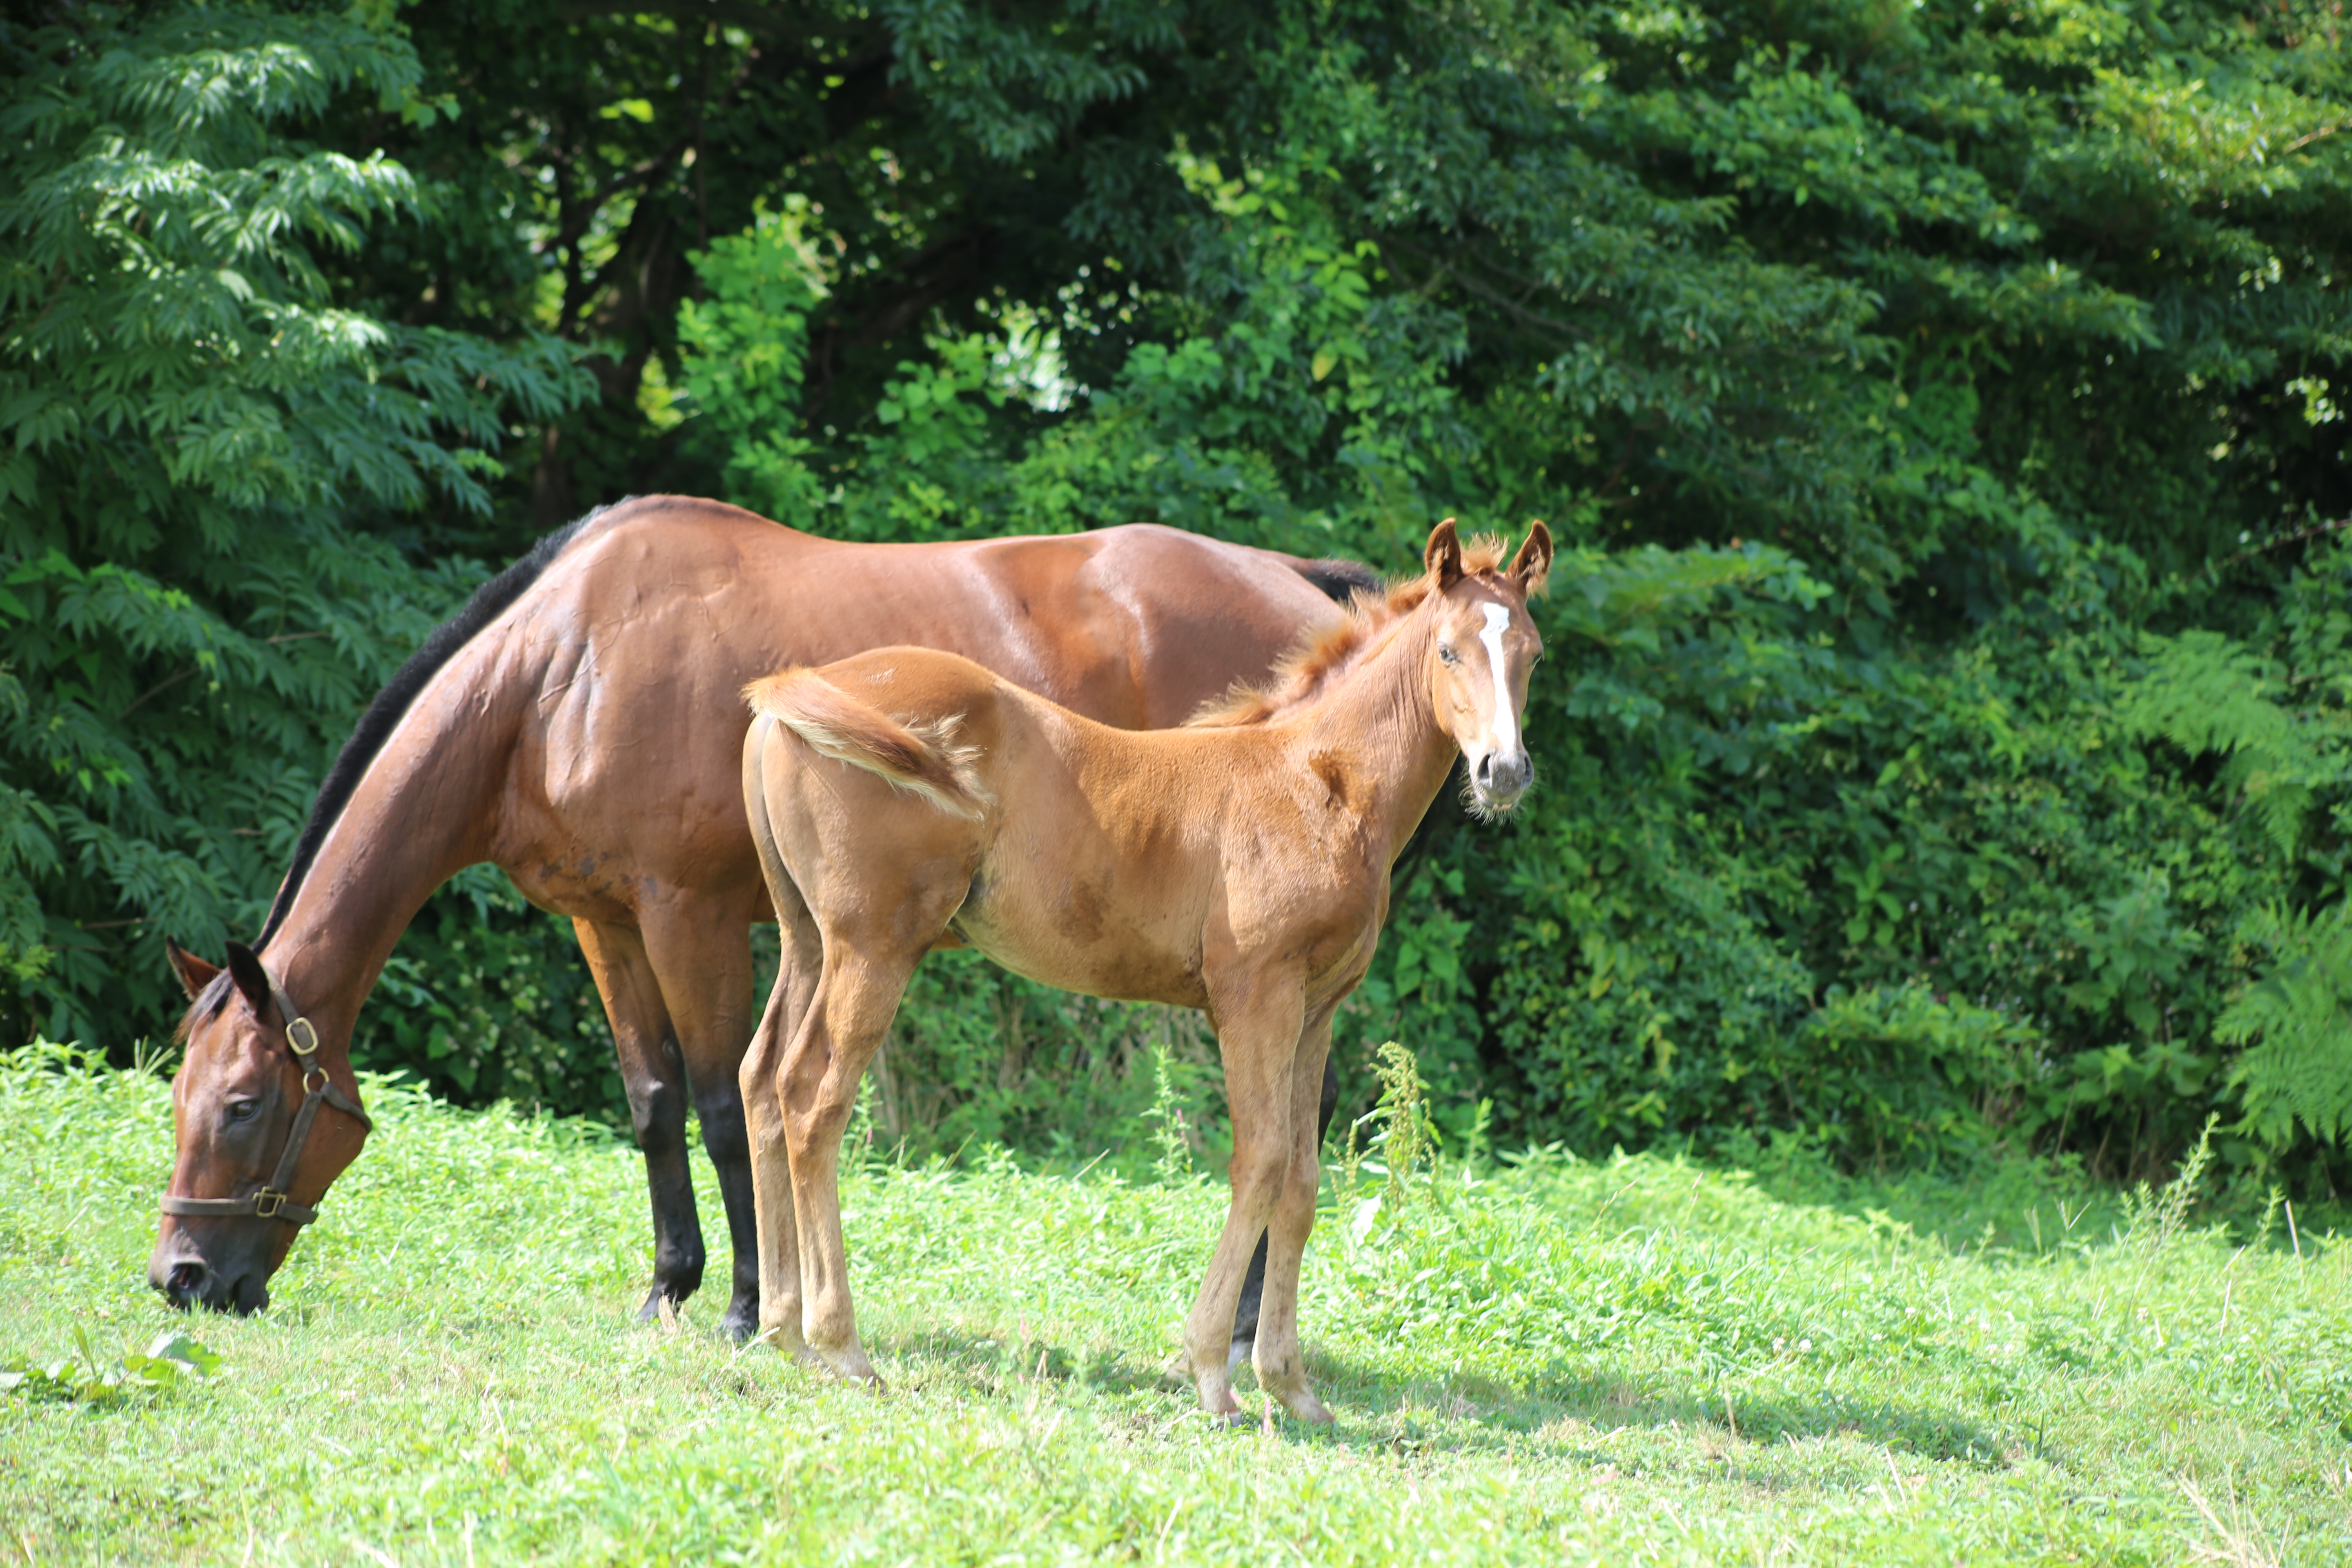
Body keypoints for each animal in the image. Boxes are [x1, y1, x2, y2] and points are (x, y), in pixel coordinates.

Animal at [147, 496, 1373, 1335]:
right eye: (179, 1094)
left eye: (246, 1105)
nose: (182, 1278)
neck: (563, 671)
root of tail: (1298, 581)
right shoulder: (604, 923)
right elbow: (651, 1103)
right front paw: (668, 1288)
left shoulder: (690, 917)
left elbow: (724, 1104)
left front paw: (745, 1305)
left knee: (1283, 1123)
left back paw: (1248, 1328)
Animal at [734, 517, 1543, 1420]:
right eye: (1447, 650)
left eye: (1533, 654)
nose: (1503, 773)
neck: (1316, 783)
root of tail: (800, 692)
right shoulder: (1254, 997)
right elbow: (1261, 1164)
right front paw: (1213, 1373)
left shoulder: (1318, 1008)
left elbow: (1302, 1183)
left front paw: (1291, 1386)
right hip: (873, 947)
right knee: (817, 1104)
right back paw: (840, 1345)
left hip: (808, 941)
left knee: (765, 1080)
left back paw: (783, 1329)